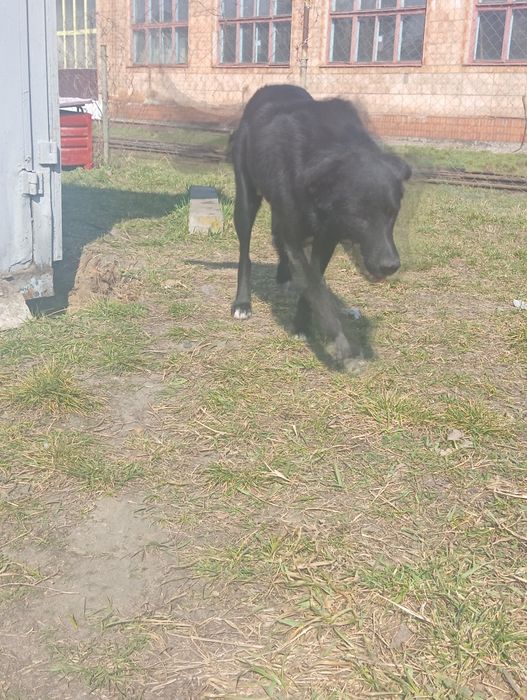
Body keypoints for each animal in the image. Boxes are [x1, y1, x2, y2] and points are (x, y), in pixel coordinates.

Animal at [229, 84, 411, 368]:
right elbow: (316, 289)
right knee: (245, 252)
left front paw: (302, 325)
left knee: (277, 237)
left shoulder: (326, 239)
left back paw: (284, 275)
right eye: (360, 217)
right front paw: (342, 345)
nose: (390, 266)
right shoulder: (298, 235)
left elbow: (311, 284)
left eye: (392, 214)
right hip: (246, 201)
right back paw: (243, 302)